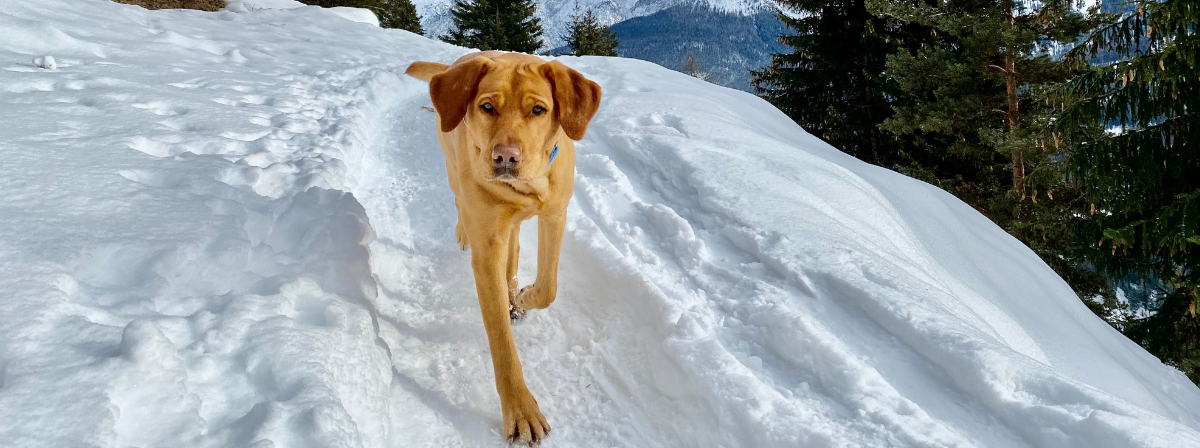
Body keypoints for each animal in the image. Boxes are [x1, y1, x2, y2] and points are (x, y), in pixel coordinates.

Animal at [408, 53, 604, 444]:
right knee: (459, 201)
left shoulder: (555, 215)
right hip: (453, 169)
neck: (527, 188)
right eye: (487, 107)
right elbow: (500, 340)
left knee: (513, 246)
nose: (505, 157)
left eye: (539, 110)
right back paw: (465, 234)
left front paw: (524, 297)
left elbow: (549, 287)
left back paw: (514, 291)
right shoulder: (487, 250)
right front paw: (521, 409)